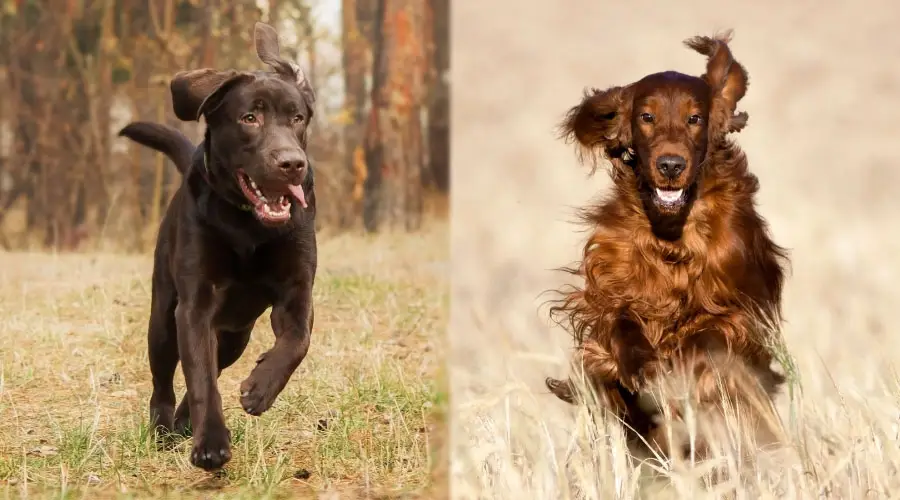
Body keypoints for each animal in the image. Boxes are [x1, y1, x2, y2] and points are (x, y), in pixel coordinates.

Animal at [118, 22, 318, 468]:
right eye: (249, 118)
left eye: (297, 118)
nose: (292, 163)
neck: (249, 226)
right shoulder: (195, 306)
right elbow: (200, 378)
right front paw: (210, 443)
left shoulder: (297, 294)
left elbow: (296, 342)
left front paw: (261, 388)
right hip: (163, 319)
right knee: (165, 379)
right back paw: (163, 427)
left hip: (235, 337)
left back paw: (182, 422)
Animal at [540, 31, 788, 458]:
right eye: (647, 117)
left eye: (695, 118)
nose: (670, 165)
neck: (672, 233)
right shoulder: (611, 289)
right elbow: (619, 323)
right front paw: (641, 367)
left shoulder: (736, 311)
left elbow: (706, 337)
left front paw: (679, 373)